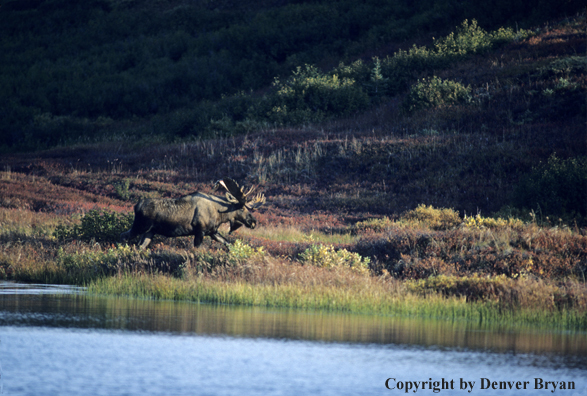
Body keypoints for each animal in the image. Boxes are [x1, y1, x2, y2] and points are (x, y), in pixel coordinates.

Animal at [121, 179, 266, 249]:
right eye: (241, 208)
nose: (253, 222)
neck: (219, 214)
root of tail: (136, 205)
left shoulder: (212, 232)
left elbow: (228, 243)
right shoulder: (200, 231)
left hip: (149, 232)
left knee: (140, 247)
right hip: (140, 227)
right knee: (124, 236)